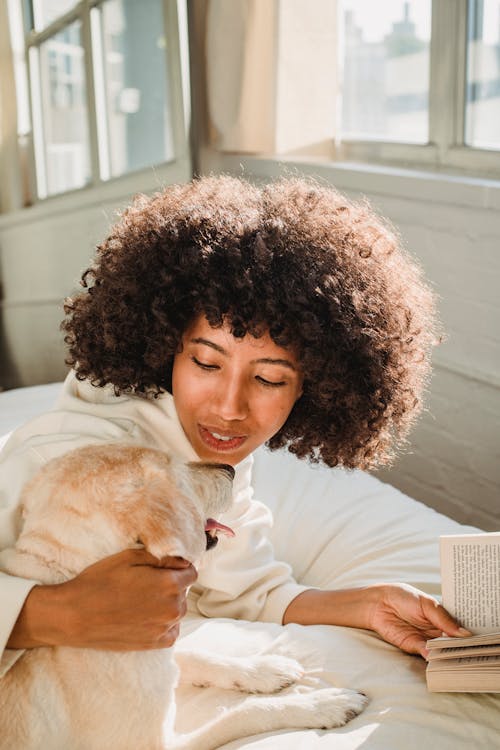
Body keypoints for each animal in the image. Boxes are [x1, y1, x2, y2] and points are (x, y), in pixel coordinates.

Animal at [0, 444, 368, 748]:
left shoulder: (162, 646)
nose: (230, 468)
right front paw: (321, 704)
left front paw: (264, 669)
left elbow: (199, 656)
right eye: (179, 473)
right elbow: (241, 715)